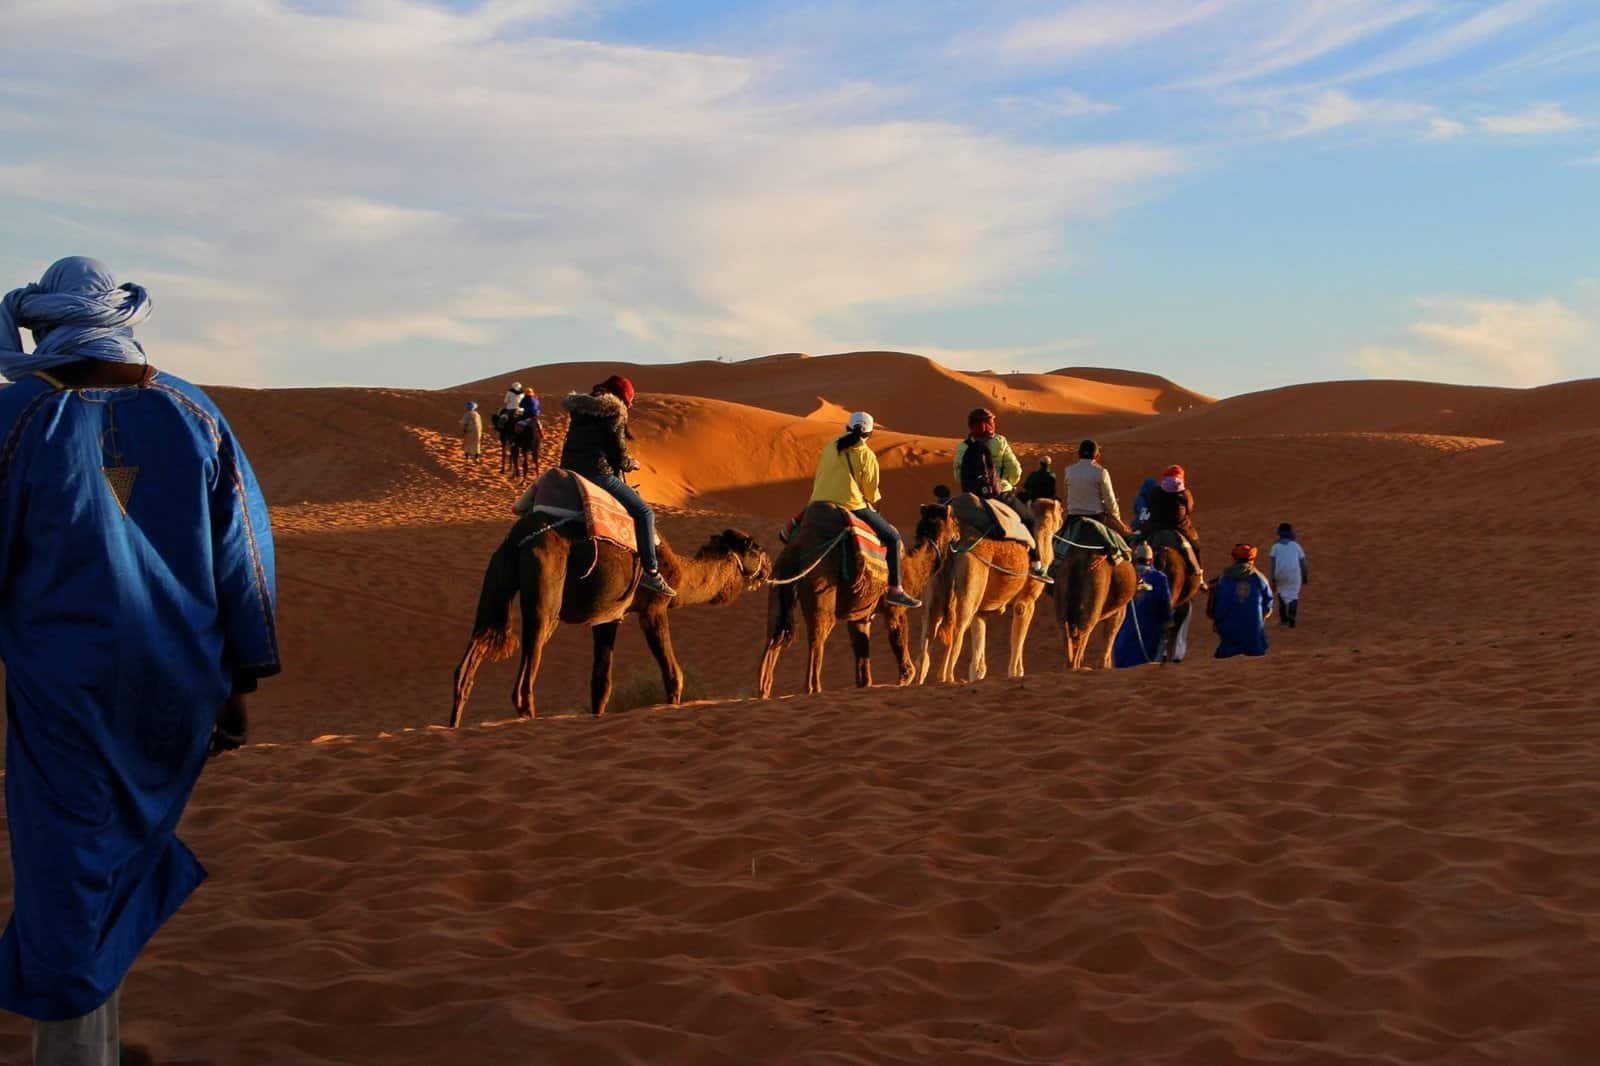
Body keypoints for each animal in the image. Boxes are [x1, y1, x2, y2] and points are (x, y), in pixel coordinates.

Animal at [451, 515, 774, 723]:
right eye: (754, 546)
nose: (770, 564)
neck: (680, 575)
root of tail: (518, 540)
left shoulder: (608, 618)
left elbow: (600, 682)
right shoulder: (654, 609)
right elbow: (674, 675)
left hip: (497, 580)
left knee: (469, 660)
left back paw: (454, 724)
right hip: (545, 594)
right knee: (524, 678)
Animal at [755, 499, 953, 697]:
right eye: (954, 520)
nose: (958, 534)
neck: (911, 567)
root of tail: (797, 548)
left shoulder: (860, 615)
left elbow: (861, 654)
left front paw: (864, 684)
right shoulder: (894, 609)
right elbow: (897, 636)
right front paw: (905, 677)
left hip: (780, 580)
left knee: (774, 636)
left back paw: (764, 692)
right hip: (820, 587)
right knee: (817, 638)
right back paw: (814, 689)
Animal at [928, 496, 1062, 681]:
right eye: (1060, 510)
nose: (1064, 513)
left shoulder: (981, 611)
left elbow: (978, 654)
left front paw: (976, 677)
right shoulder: (1026, 601)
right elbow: (1017, 639)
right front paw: (1015, 674)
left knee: (928, 636)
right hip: (969, 587)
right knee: (956, 631)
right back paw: (948, 679)